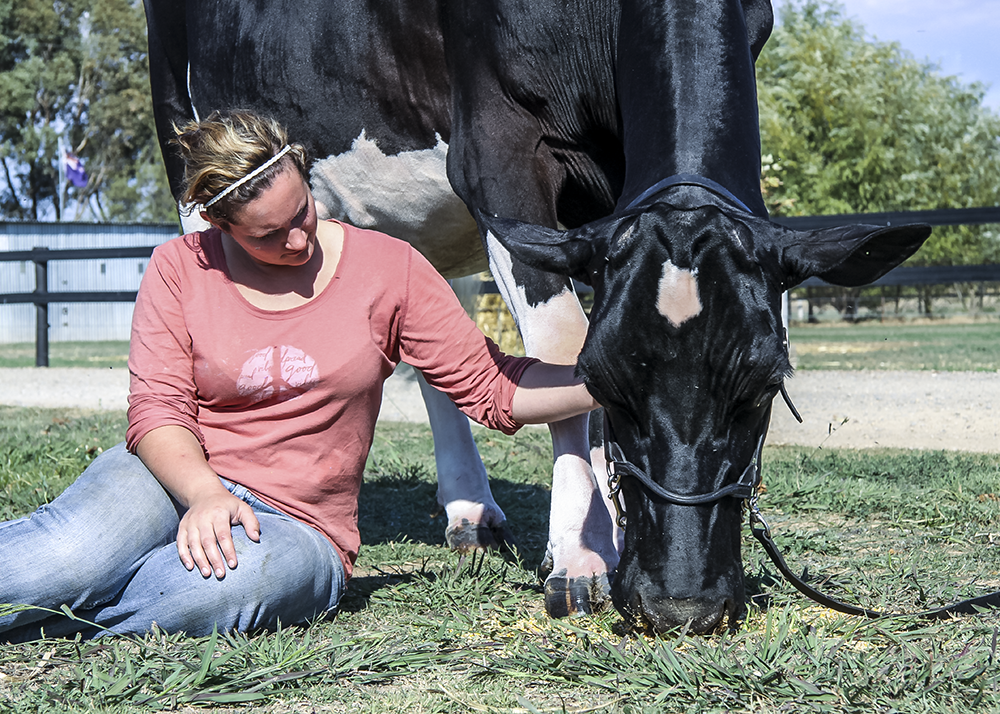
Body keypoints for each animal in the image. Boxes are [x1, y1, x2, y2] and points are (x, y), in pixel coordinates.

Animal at [145, 0, 924, 628]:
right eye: (604, 382)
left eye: (764, 388)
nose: (681, 603)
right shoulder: (499, 149)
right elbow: (559, 342)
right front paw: (583, 555)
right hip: (184, 143)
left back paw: (469, 512)